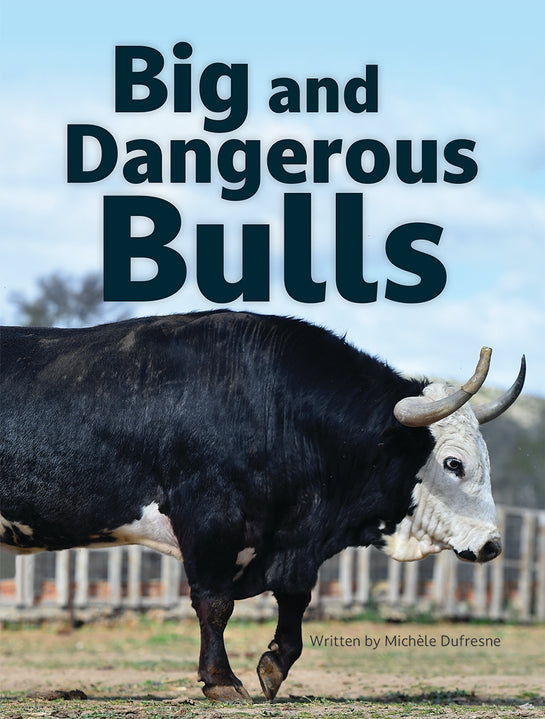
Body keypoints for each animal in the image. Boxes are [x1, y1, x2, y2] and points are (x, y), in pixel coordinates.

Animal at [0, 311, 525, 703]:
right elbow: (215, 603)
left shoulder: (292, 542)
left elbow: (295, 597)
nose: (492, 545)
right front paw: (221, 681)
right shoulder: (209, 520)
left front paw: (274, 665)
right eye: (454, 463)